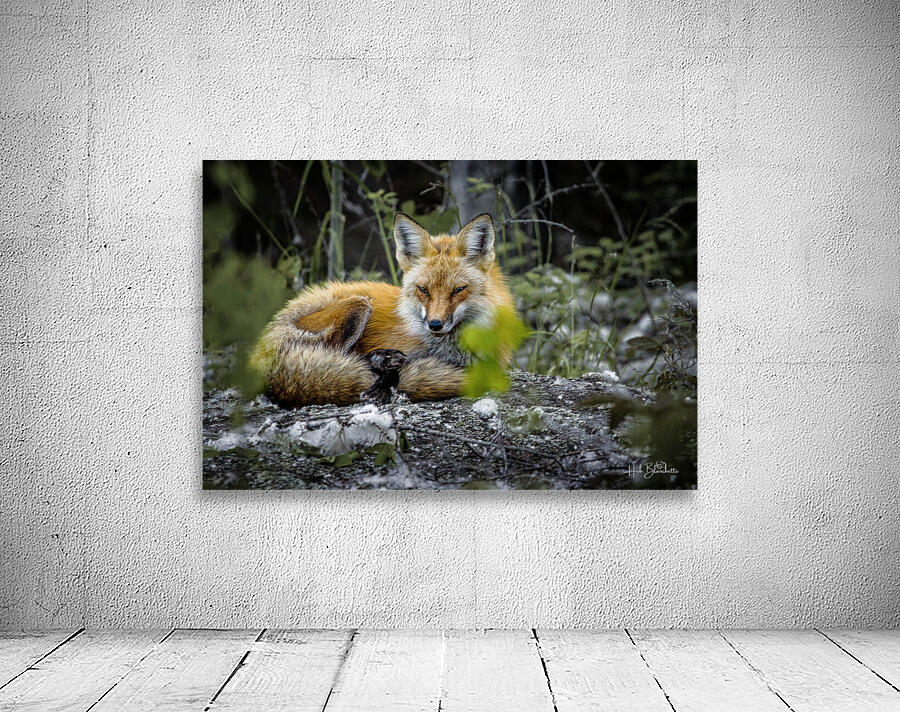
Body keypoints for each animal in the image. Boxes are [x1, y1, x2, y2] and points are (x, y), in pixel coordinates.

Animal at [250, 212, 516, 405]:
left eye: (458, 290)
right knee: (340, 356)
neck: (449, 351)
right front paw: (385, 379)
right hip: (359, 304)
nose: (435, 324)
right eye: (423, 289)